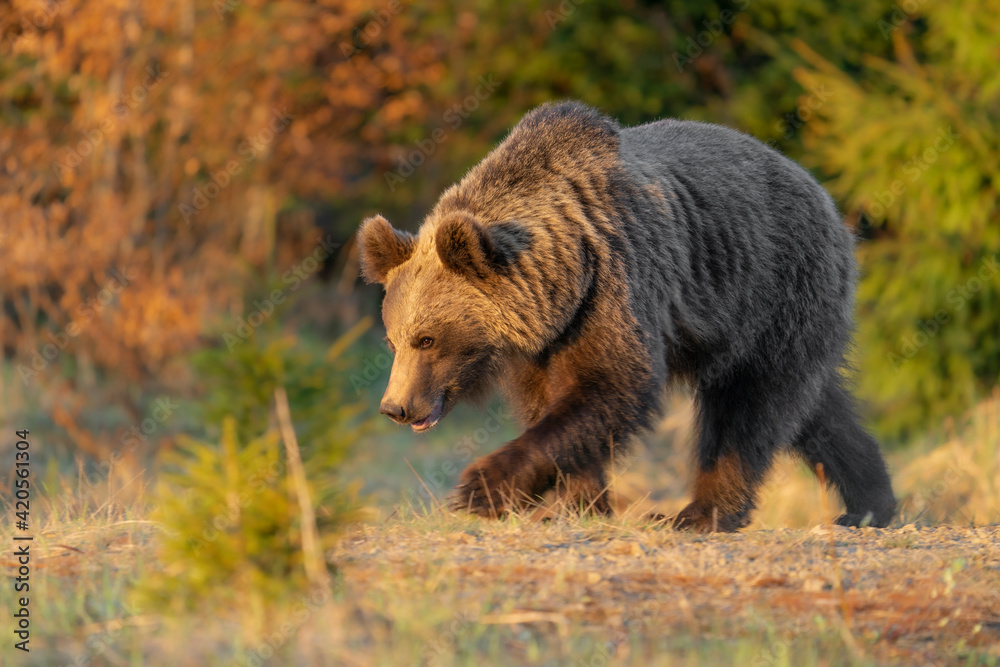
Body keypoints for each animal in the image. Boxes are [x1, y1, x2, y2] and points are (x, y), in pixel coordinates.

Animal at [357, 100, 896, 531]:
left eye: (427, 339)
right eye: (393, 340)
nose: (396, 407)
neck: (563, 276)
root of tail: (825, 195)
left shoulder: (615, 283)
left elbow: (615, 384)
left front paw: (481, 488)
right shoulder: (546, 339)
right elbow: (552, 404)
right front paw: (578, 503)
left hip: (772, 290)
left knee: (747, 408)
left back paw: (702, 512)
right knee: (816, 409)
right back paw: (870, 503)